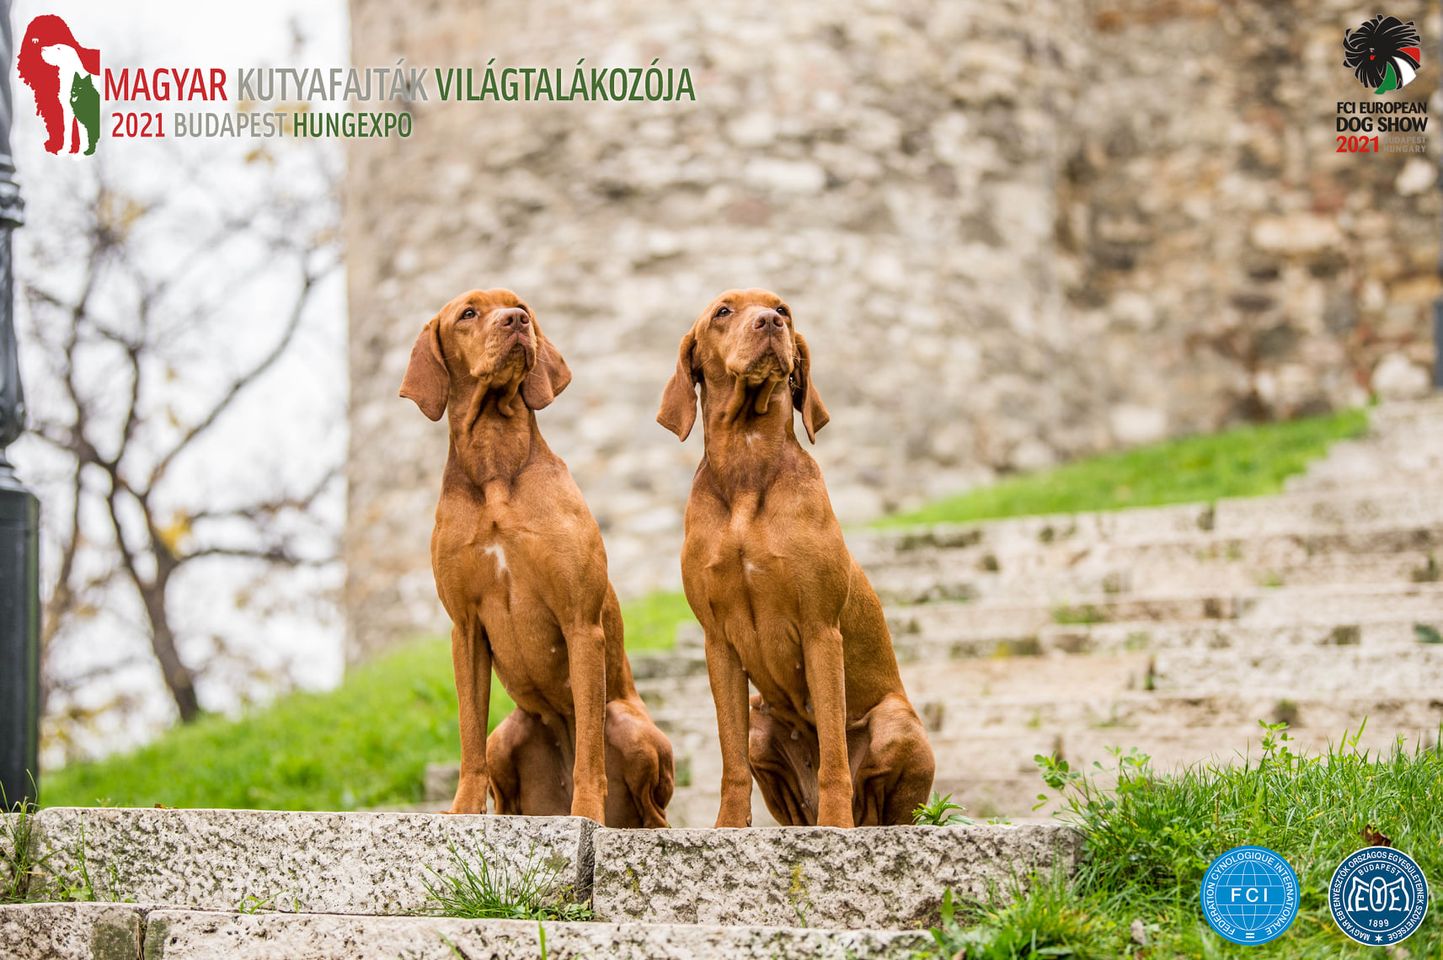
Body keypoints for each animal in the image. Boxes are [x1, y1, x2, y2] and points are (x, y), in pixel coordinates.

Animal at [404, 284, 672, 825]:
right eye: (468, 313)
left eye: (521, 306)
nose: (516, 321)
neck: (495, 468)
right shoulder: (465, 628)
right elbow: (467, 734)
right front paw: (462, 811)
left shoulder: (580, 622)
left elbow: (589, 747)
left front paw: (585, 813)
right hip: (507, 738)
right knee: (498, 772)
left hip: (631, 729)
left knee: (651, 809)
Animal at [658, 284, 935, 825]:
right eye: (723, 311)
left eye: (782, 307)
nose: (770, 322)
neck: (747, 466)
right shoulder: (718, 643)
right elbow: (730, 761)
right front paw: (727, 827)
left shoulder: (820, 629)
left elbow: (833, 753)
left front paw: (835, 827)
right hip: (761, 722)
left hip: (897, 723)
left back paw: (853, 823)